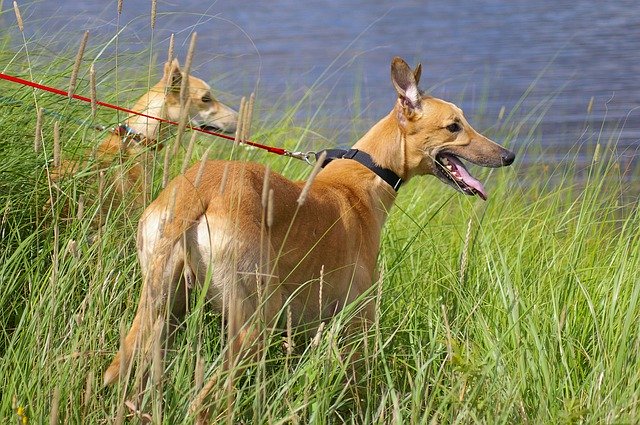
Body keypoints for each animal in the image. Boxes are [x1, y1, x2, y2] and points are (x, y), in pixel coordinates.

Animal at [104, 54, 516, 410]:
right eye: (454, 126)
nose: (508, 156)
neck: (364, 175)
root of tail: (195, 191)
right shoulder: (358, 319)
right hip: (252, 322)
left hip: (163, 315)